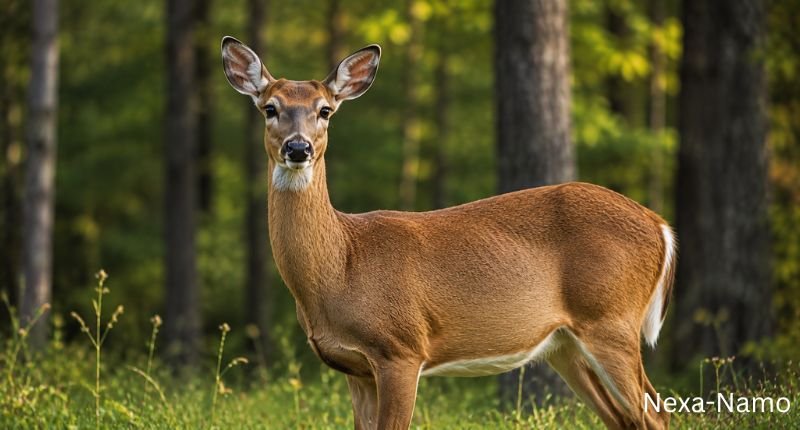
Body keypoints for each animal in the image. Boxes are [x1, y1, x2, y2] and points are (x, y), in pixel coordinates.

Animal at [221, 36, 675, 430]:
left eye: (325, 110)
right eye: (270, 108)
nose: (298, 148)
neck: (342, 264)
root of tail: (660, 225)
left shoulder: (401, 349)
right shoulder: (355, 367)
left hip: (611, 318)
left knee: (655, 412)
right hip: (565, 344)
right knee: (625, 418)